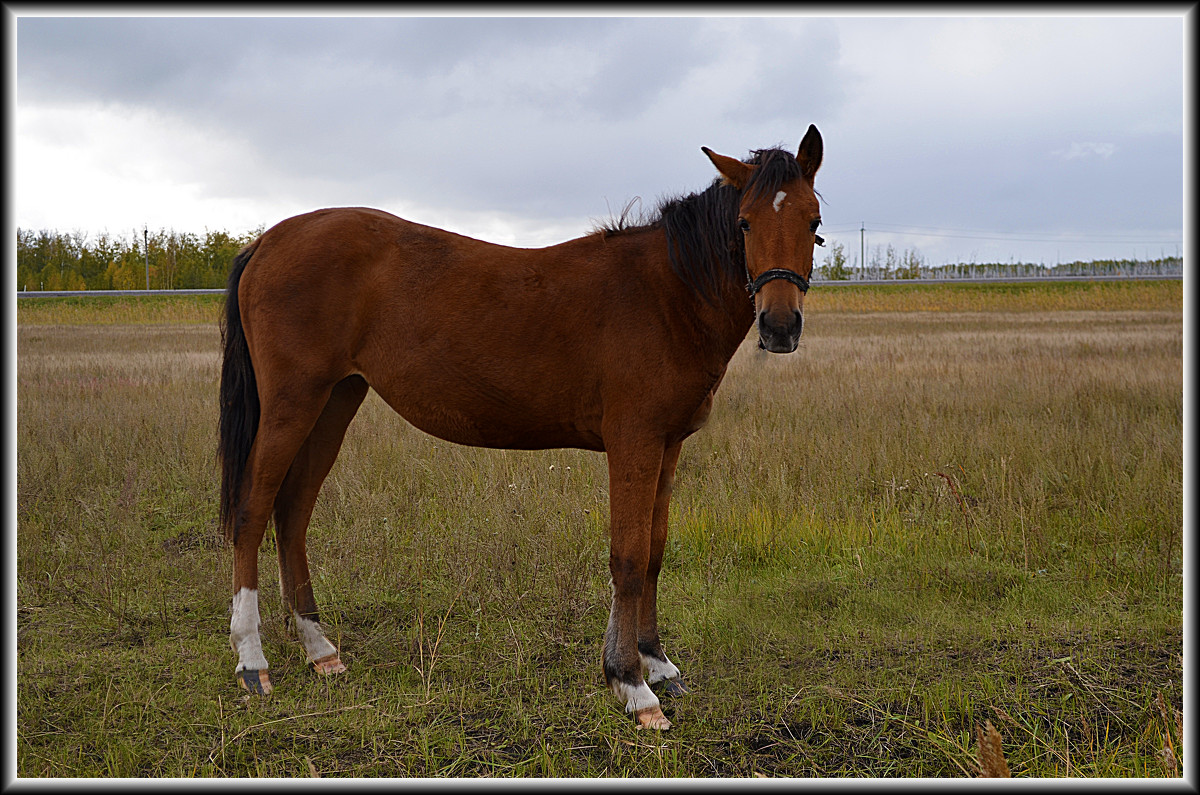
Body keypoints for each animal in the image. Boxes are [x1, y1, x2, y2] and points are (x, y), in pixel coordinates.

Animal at [218, 123, 825, 730]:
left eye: (813, 221)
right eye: (745, 222)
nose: (779, 326)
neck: (666, 295)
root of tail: (267, 241)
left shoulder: (668, 445)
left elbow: (653, 552)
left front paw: (655, 663)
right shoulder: (634, 443)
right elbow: (627, 558)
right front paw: (630, 684)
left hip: (336, 400)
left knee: (292, 513)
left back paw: (320, 649)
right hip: (293, 403)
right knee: (252, 511)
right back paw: (252, 660)